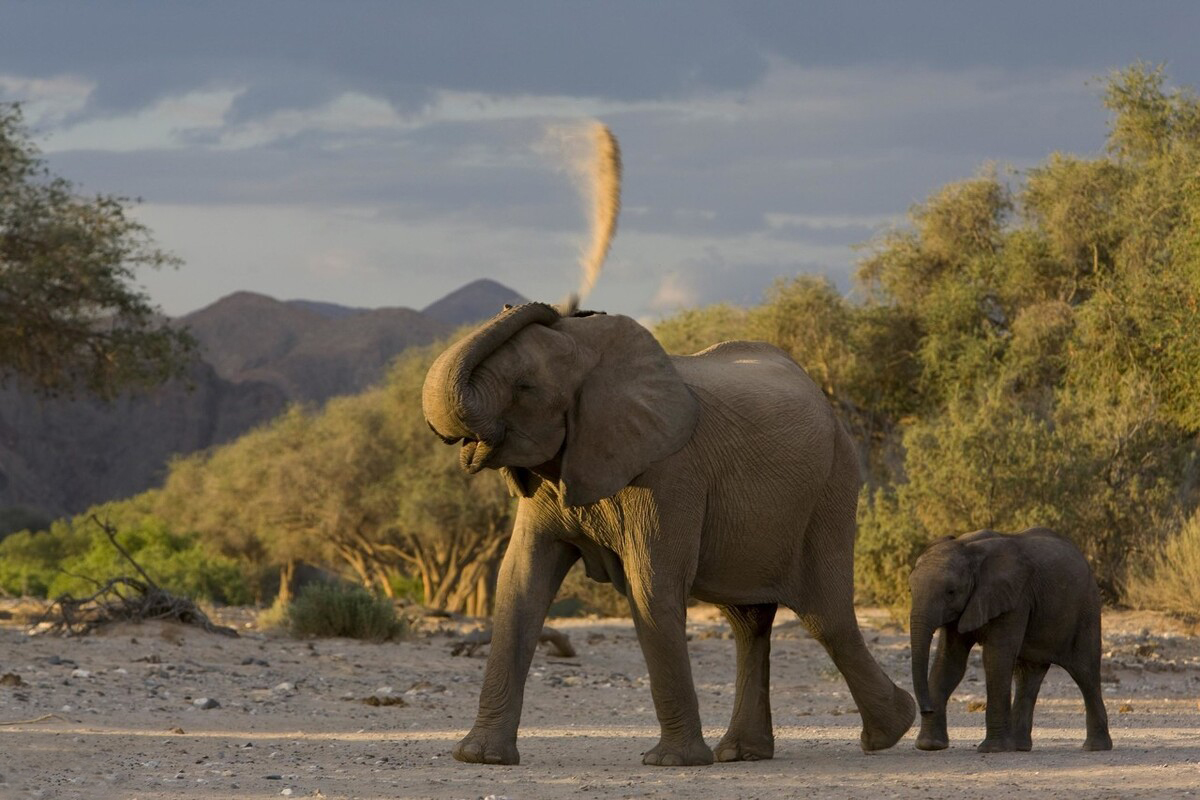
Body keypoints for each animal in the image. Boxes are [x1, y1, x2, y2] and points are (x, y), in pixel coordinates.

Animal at [420, 303, 907, 767]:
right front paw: (480, 758)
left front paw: (671, 762)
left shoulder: (671, 473)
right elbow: (520, 585)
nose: (543, 306)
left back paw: (890, 732)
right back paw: (742, 753)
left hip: (832, 487)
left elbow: (651, 588)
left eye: (525, 388)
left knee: (826, 618)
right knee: (749, 623)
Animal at [907, 527, 1113, 753]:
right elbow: (949, 663)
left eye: (951, 591)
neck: (969, 550)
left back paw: (1095, 747)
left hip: (1086, 609)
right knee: (1028, 676)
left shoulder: (1015, 599)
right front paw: (930, 745)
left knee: (1085, 672)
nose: (926, 710)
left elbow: (996, 658)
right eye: (910, 590)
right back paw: (1019, 747)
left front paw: (992, 749)